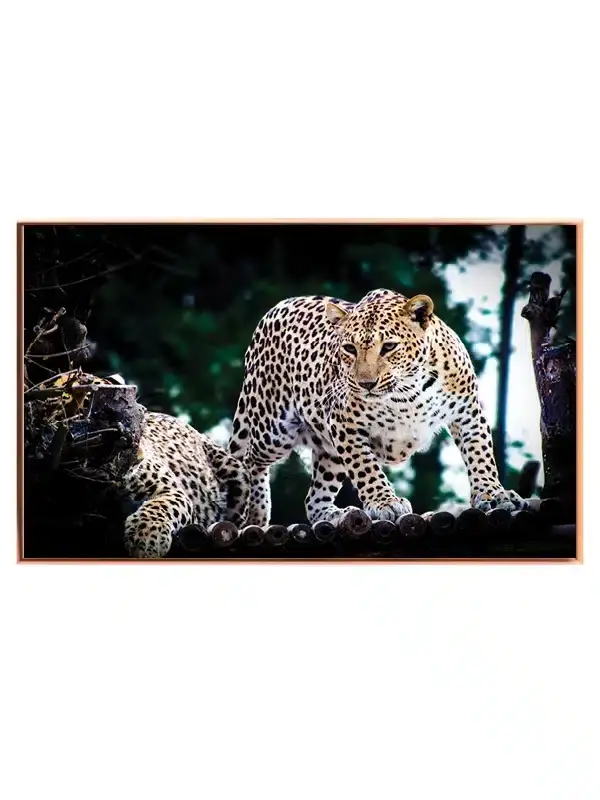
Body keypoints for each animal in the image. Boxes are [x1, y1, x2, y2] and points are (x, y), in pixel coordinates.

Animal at [227, 288, 527, 527]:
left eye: (389, 347)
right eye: (349, 348)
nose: (366, 383)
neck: (409, 391)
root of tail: (274, 308)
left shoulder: (468, 412)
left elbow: (481, 456)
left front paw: (493, 495)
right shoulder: (345, 425)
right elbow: (366, 467)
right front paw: (385, 503)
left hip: (328, 452)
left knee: (313, 499)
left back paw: (334, 514)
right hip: (273, 428)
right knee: (248, 460)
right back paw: (256, 512)